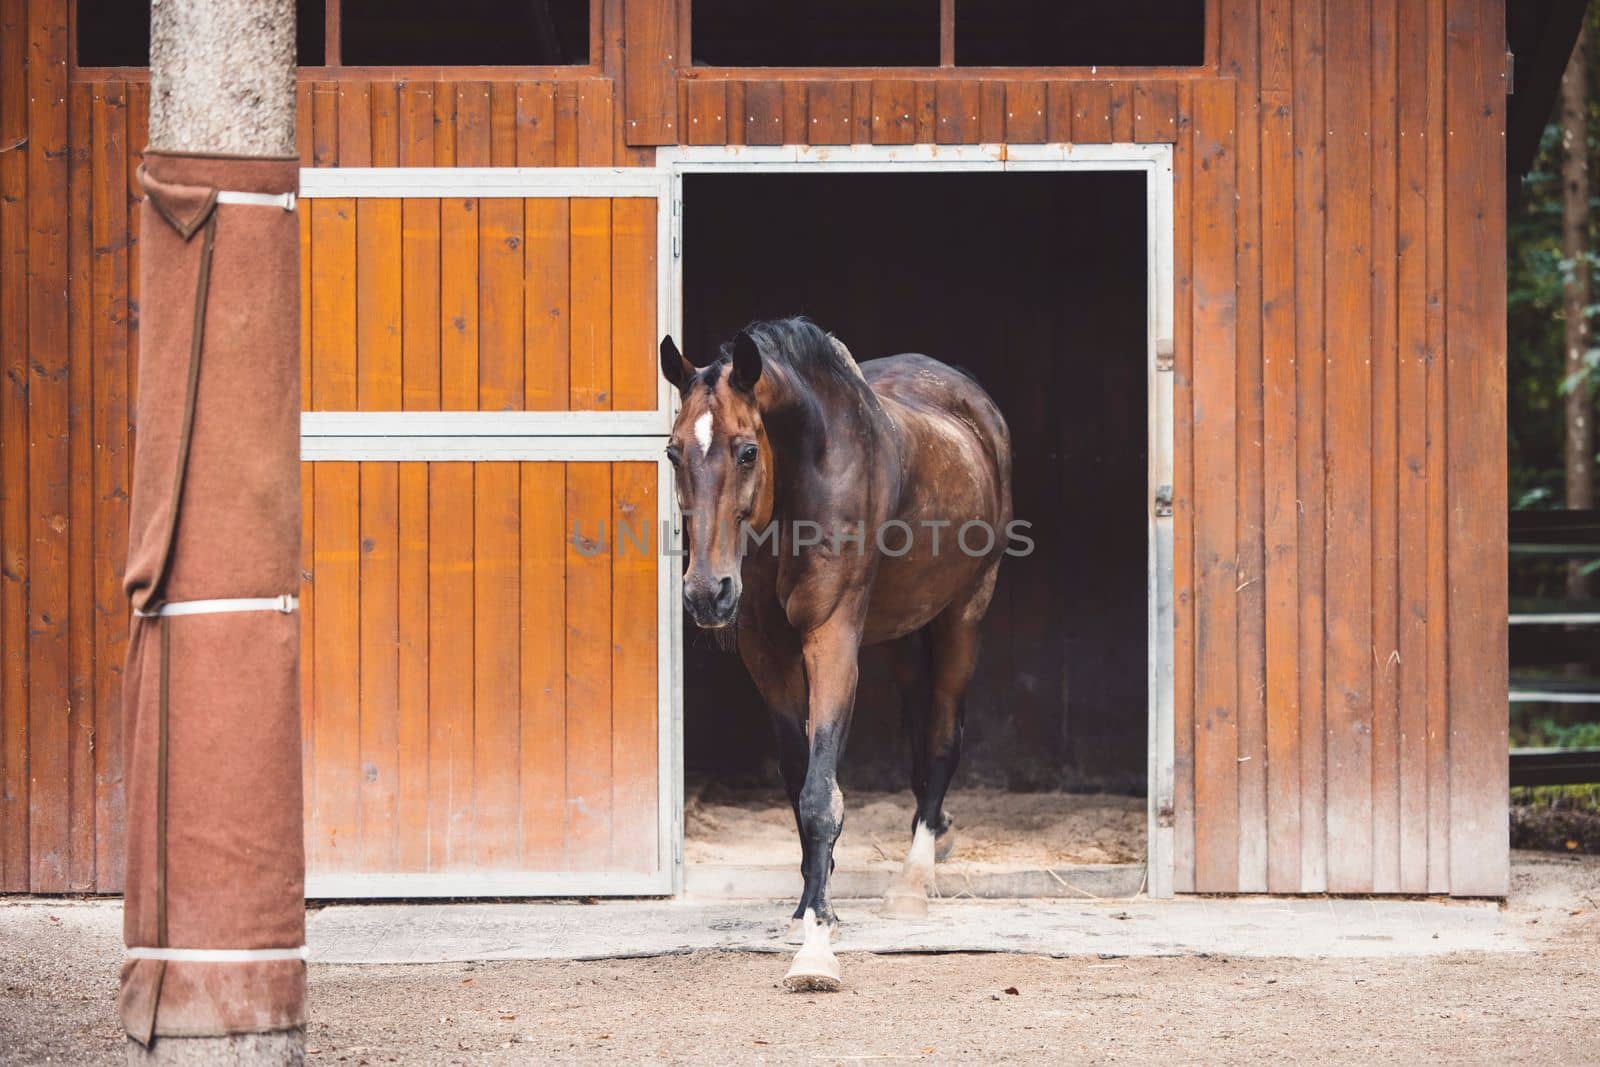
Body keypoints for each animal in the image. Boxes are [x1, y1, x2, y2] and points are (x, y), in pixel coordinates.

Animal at [659, 316, 1011, 991]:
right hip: (900, 632)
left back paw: (913, 882)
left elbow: (822, 794)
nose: (706, 593)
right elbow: (800, 779)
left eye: (747, 450)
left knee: (942, 738)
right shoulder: (766, 653)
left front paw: (817, 948)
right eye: (672, 452)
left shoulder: (832, 638)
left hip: (966, 614)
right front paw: (806, 909)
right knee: (918, 735)